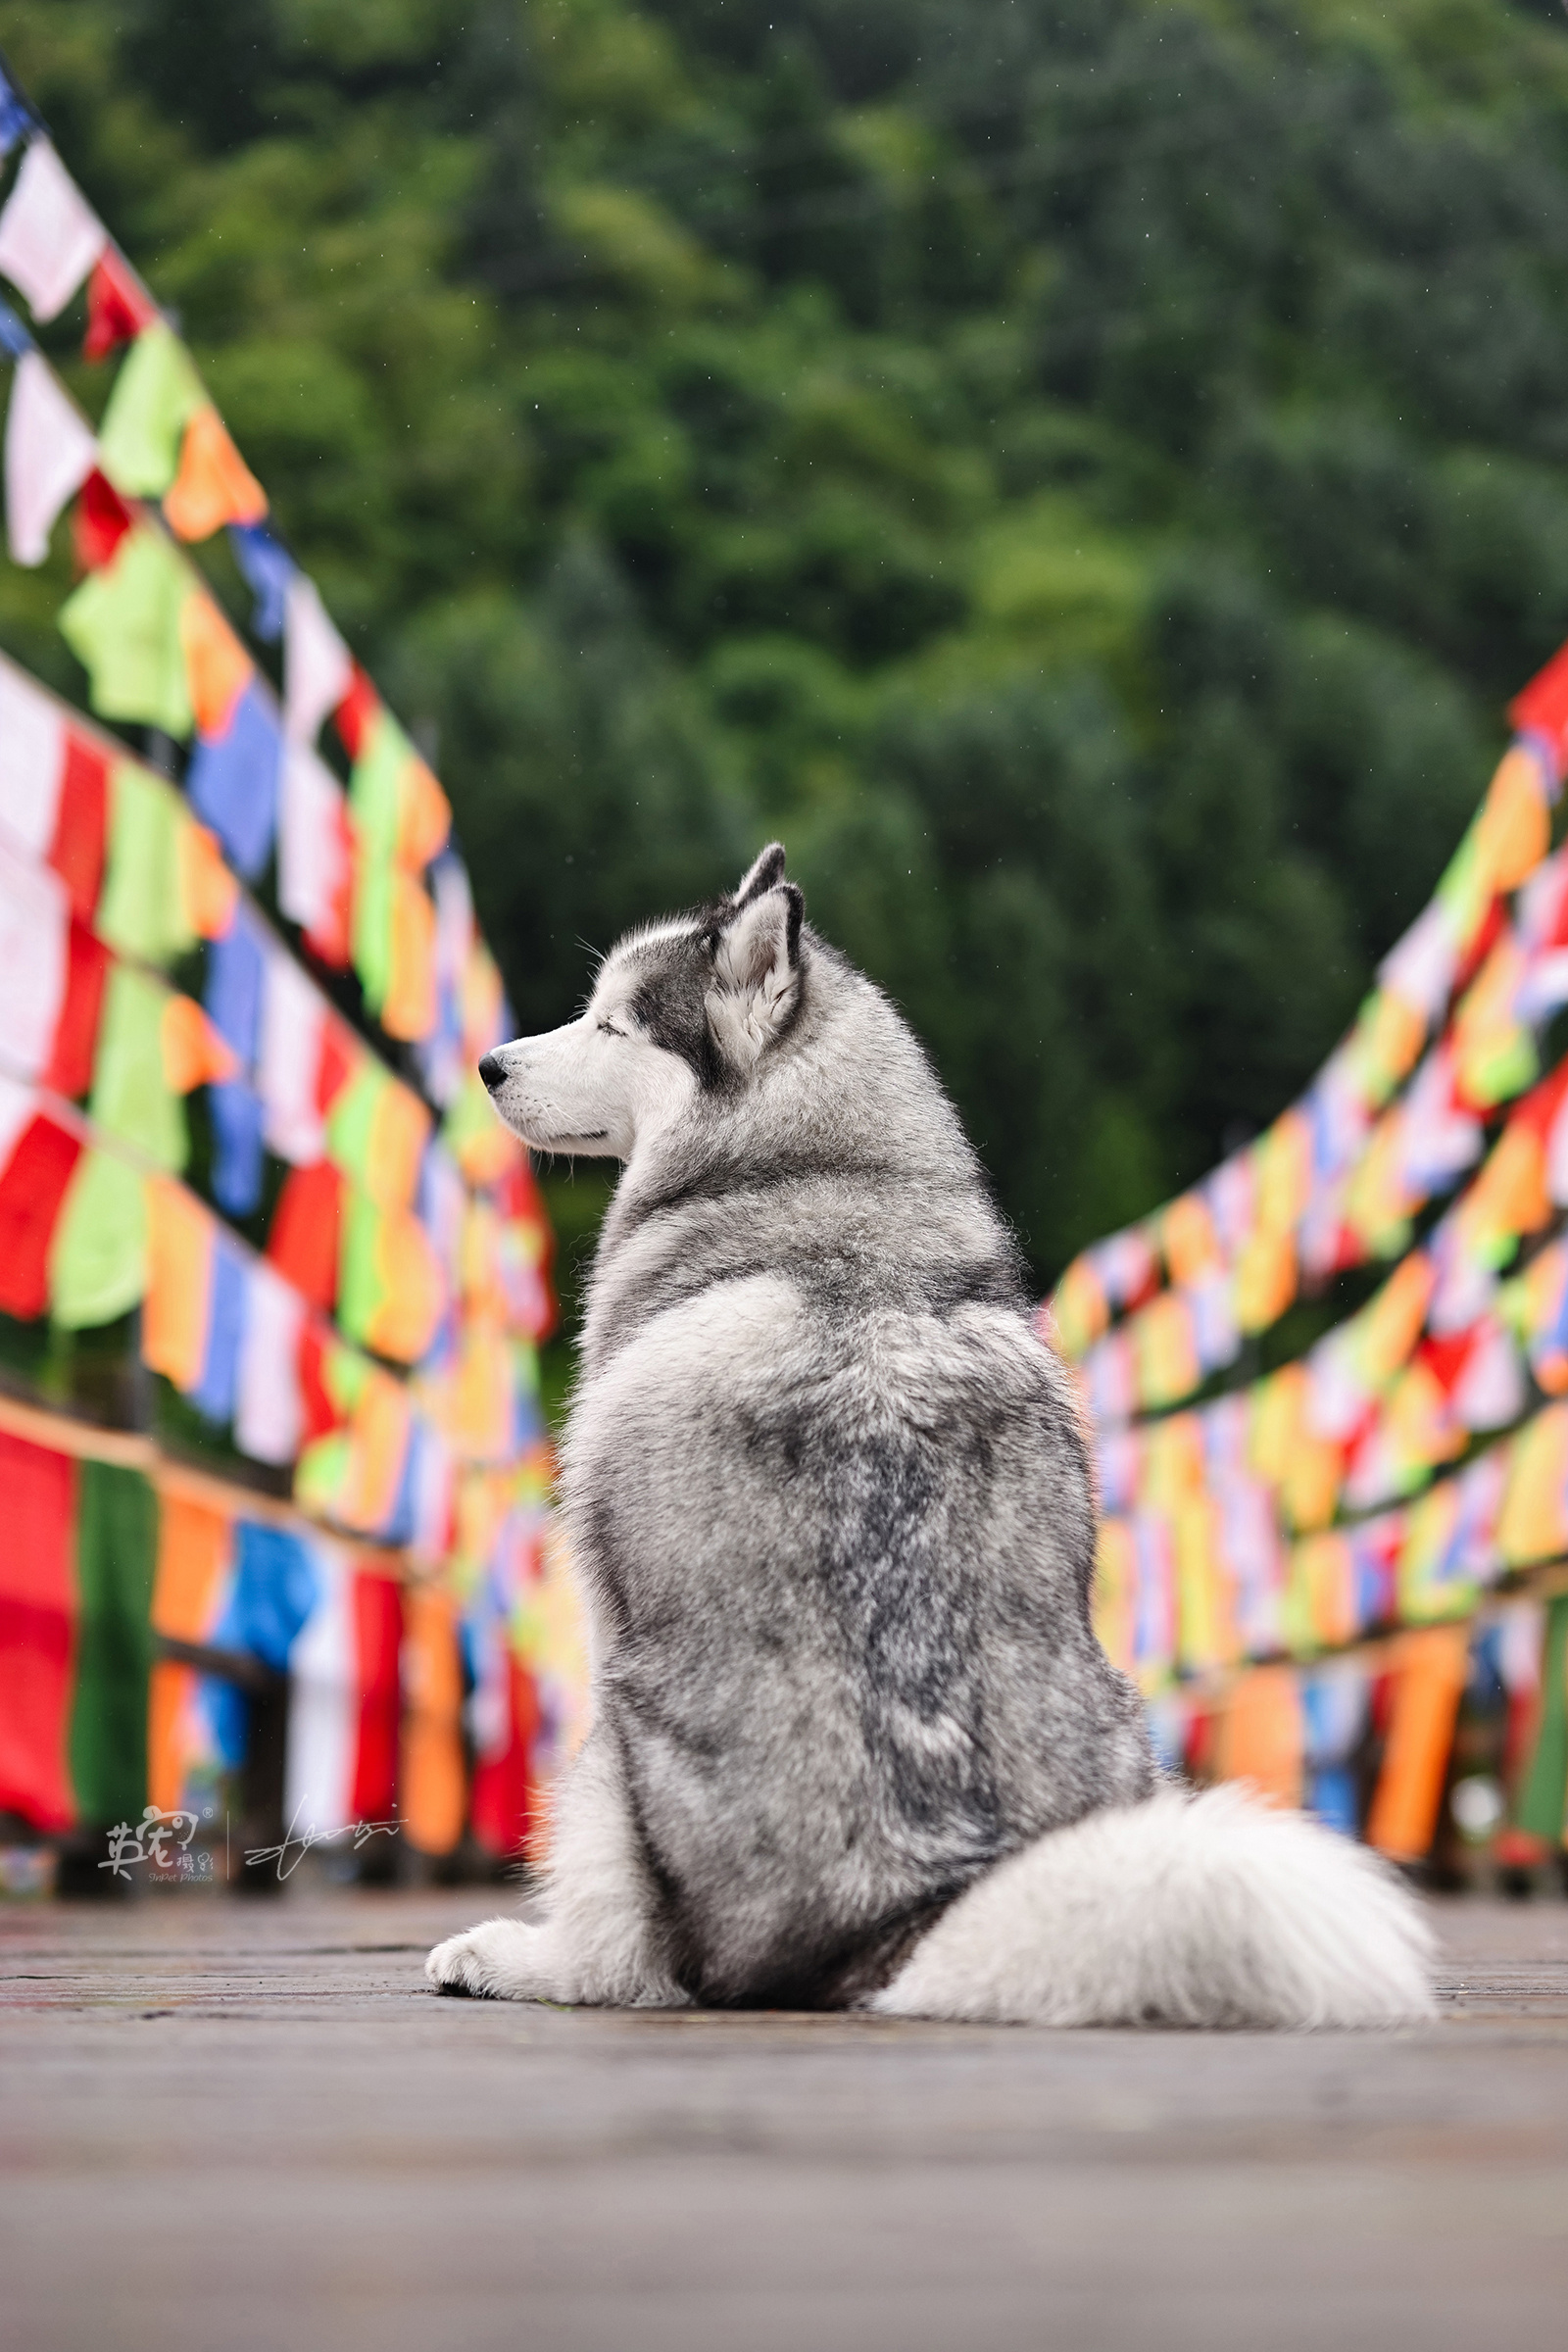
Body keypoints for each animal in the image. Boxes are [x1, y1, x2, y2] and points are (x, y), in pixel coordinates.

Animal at [425, 856, 1439, 2032]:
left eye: (614, 1024)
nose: (489, 1064)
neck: (814, 1173)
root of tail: (911, 1902)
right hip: (1123, 1724)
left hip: (615, 1739)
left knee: (632, 1962)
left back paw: (510, 1955)